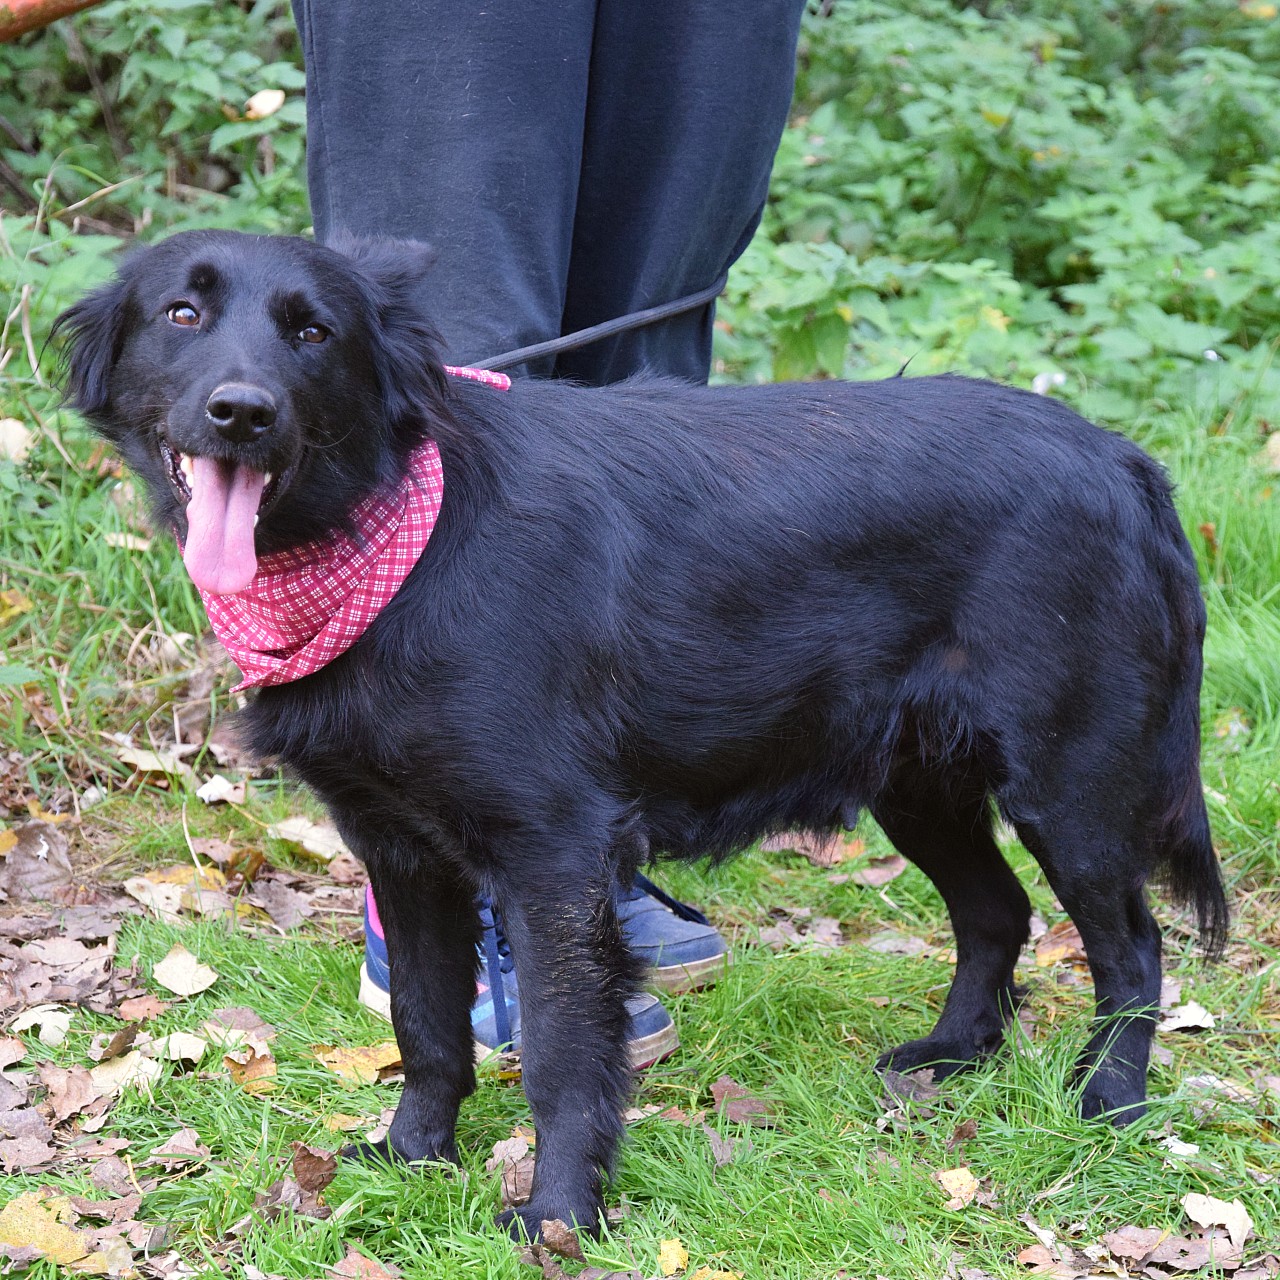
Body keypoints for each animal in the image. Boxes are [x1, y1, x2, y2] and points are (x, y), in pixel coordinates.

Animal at [56, 230, 1227, 1237]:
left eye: (314, 331)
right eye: (181, 312)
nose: (240, 412)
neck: (399, 539)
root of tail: (1122, 460)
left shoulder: (553, 853)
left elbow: (564, 1057)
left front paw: (559, 1214)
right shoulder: (402, 851)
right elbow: (427, 1029)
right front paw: (410, 1158)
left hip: (1070, 788)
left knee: (1132, 953)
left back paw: (1108, 1102)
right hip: (919, 784)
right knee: (996, 911)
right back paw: (950, 1054)